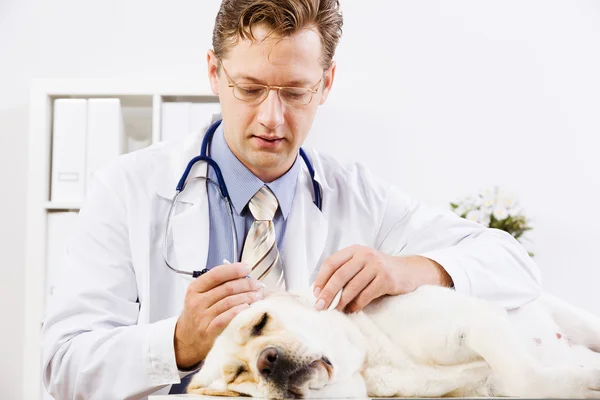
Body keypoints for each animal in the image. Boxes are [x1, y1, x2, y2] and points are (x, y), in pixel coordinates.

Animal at [185, 286, 596, 398]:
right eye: (238, 375)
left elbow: (524, 375)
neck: (370, 359)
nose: (267, 361)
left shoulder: (476, 321)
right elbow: (521, 379)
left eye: (261, 323)